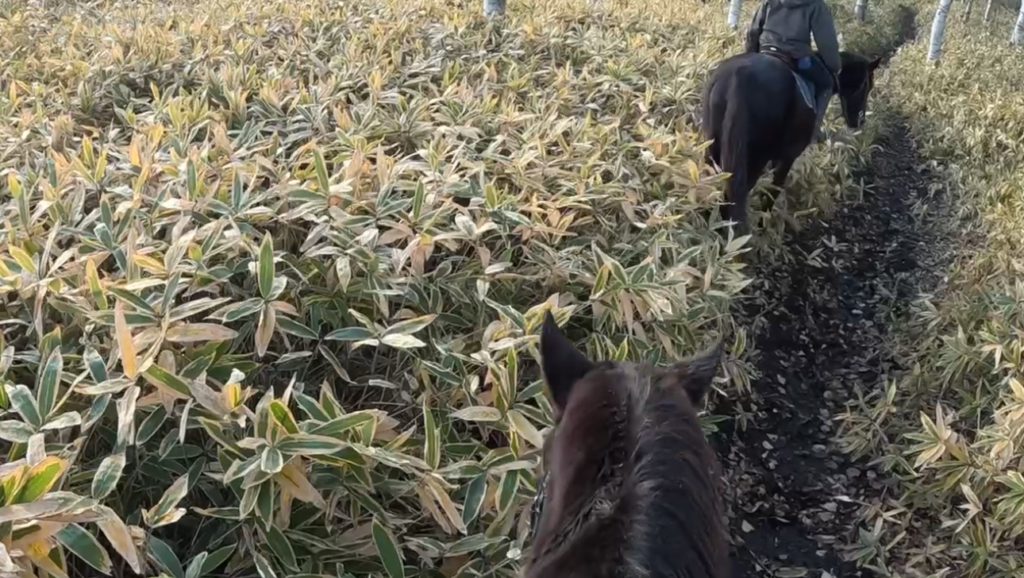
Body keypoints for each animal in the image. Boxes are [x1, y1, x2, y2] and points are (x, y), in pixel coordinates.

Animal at [704, 50, 880, 235]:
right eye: (868, 85)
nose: (859, 121)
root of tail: (739, 76)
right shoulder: (787, 157)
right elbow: (772, 192)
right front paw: (764, 227)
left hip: (712, 151)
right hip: (753, 161)